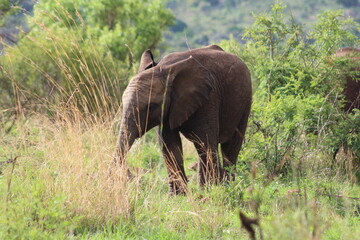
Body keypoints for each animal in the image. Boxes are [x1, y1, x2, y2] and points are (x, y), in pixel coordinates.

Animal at [112, 45, 250, 195]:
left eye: (151, 106)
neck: (165, 68)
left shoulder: (208, 99)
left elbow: (205, 142)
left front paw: (209, 193)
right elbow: (169, 145)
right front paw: (177, 196)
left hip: (244, 103)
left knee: (230, 146)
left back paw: (227, 187)